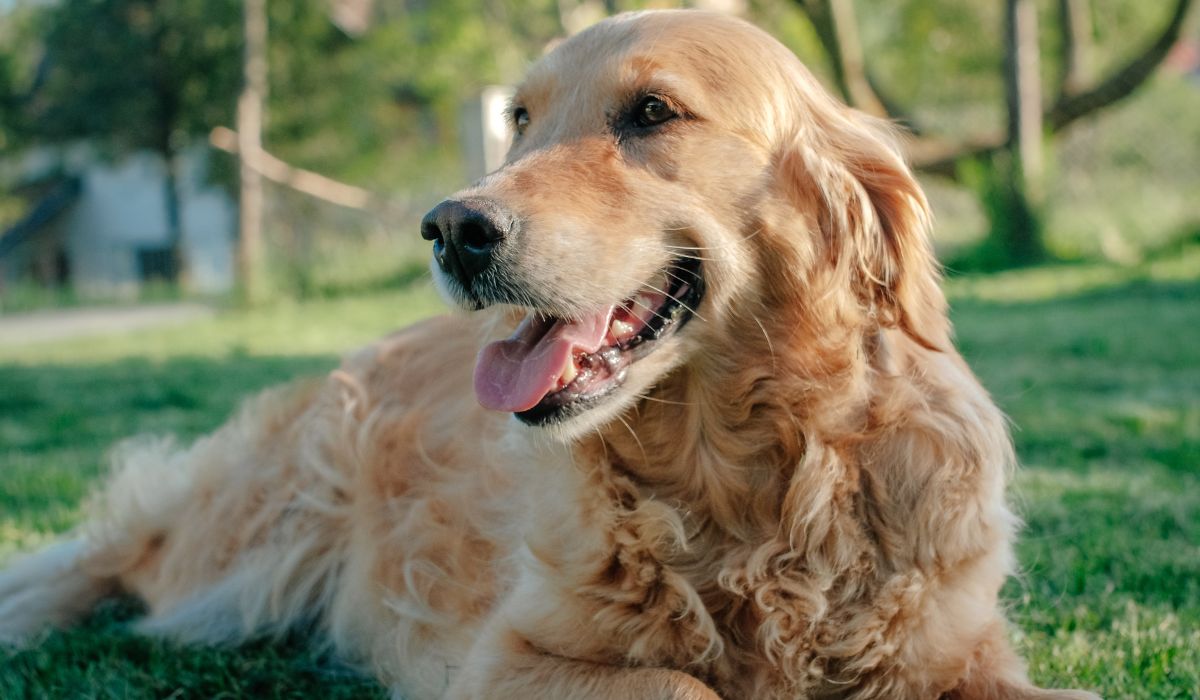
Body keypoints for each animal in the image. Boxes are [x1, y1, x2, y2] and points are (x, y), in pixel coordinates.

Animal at [0, 10, 1099, 700]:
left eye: (653, 113)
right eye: (520, 120)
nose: (451, 228)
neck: (751, 487)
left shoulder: (961, 650)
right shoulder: (504, 658)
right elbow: (680, 680)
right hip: (246, 552)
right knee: (113, 558)